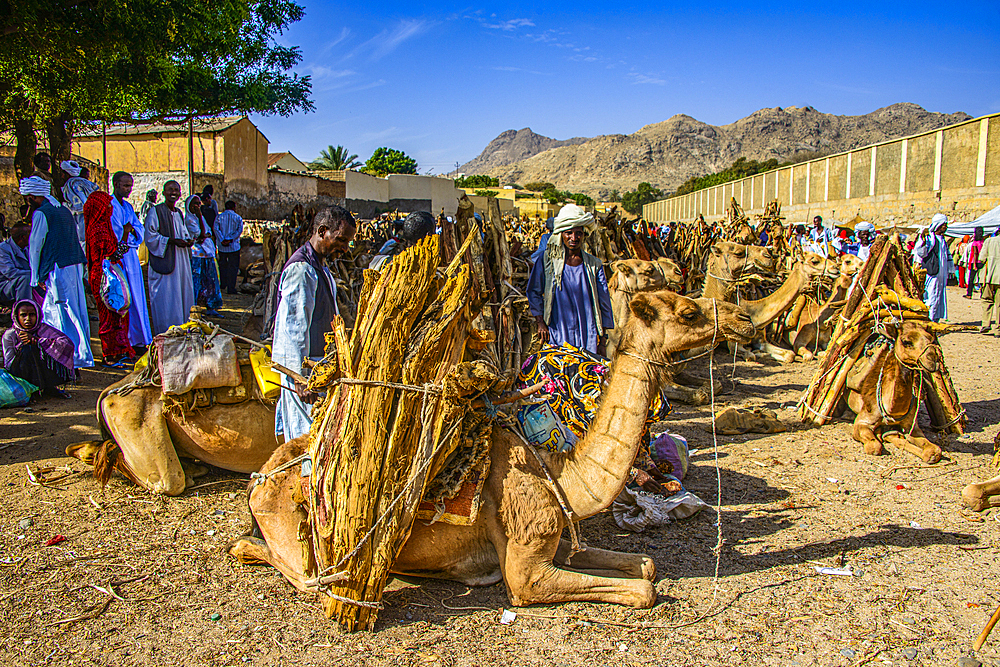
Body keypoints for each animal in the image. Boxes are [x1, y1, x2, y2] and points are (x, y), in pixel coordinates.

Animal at [229, 290, 756, 612]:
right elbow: (643, 589)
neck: (560, 476)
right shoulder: (526, 571)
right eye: (688, 312)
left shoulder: (559, 537)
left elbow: (645, 565)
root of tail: (259, 479)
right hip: (294, 529)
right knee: (302, 575)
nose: (744, 318)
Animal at [844, 320, 944, 462]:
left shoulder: (912, 426)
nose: (933, 359)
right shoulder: (862, 421)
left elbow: (934, 450)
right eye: (906, 341)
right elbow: (874, 447)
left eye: (931, 339)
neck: (893, 409)